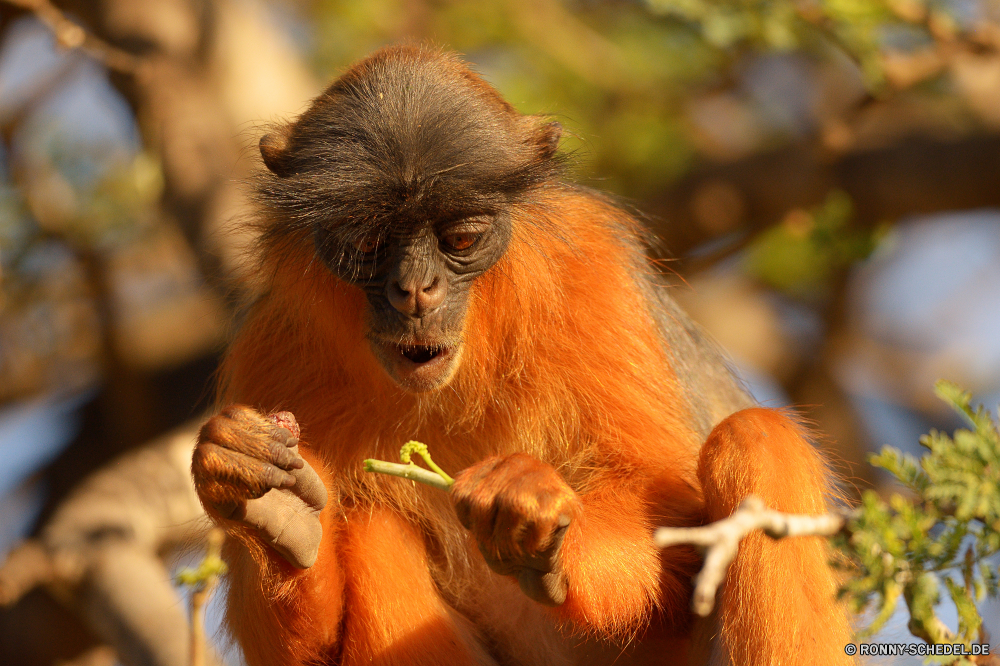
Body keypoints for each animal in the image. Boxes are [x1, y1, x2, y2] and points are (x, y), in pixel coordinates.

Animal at [191, 44, 856, 660]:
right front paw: (278, 515)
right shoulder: (271, 346)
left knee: (755, 437)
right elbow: (305, 648)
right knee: (376, 526)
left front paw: (537, 514)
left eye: (461, 238)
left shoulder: (593, 274)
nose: (415, 290)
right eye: (369, 243)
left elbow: (672, 525)